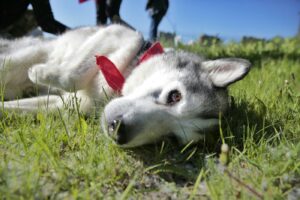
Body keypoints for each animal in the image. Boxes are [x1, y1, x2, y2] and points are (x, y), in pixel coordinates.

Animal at [0, 24, 251, 147]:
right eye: (175, 96)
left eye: (170, 139)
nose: (119, 131)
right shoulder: (116, 34)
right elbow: (71, 77)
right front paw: (41, 72)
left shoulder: (66, 104)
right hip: (28, 52)